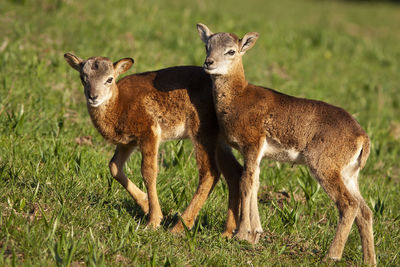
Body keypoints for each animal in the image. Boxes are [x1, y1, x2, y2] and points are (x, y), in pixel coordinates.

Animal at [63, 54, 242, 237]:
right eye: (83, 77)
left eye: (109, 79)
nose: (93, 97)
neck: (119, 105)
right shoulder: (127, 143)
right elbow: (114, 166)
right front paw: (145, 204)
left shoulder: (149, 132)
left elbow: (148, 171)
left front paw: (154, 220)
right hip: (218, 138)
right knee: (234, 171)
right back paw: (228, 231)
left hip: (202, 129)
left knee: (210, 172)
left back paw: (179, 227)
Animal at [198, 23, 376, 266]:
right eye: (207, 45)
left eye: (231, 51)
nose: (209, 63)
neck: (239, 97)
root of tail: (362, 137)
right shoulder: (257, 153)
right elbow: (255, 182)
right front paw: (255, 234)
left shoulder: (252, 144)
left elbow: (245, 182)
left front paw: (242, 235)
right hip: (349, 174)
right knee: (365, 211)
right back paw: (369, 260)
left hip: (324, 167)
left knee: (349, 205)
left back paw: (331, 255)